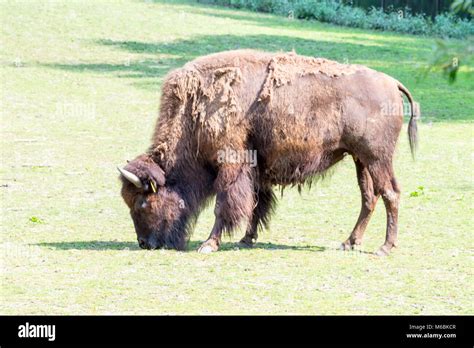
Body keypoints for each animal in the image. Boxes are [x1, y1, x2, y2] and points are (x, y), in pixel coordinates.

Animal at [117, 49, 418, 256]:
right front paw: (246, 239)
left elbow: (225, 204)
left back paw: (384, 248)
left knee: (390, 194)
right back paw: (349, 243)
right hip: (361, 160)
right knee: (369, 197)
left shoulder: (231, 163)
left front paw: (209, 244)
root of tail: (392, 83)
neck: (195, 109)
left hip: (377, 159)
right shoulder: (255, 168)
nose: (144, 244)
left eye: (142, 203)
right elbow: (256, 203)